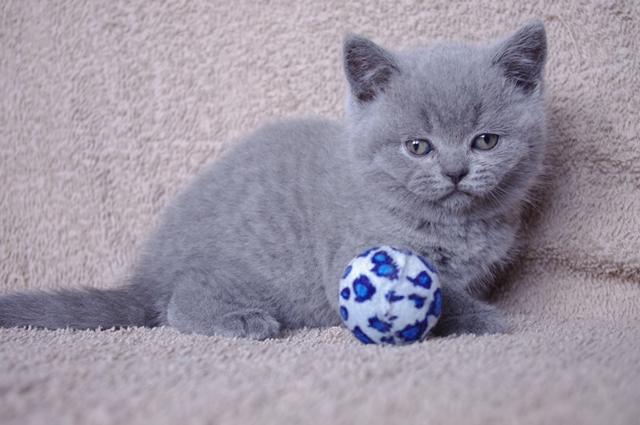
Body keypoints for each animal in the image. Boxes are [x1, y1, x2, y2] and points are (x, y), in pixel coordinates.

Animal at [0, 21, 547, 340]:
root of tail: (149, 273)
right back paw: (241, 320)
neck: (456, 225)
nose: (455, 172)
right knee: (174, 305)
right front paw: (485, 319)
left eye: (485, 142)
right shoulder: (350, 253)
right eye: (418, 147)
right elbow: (446, 298)